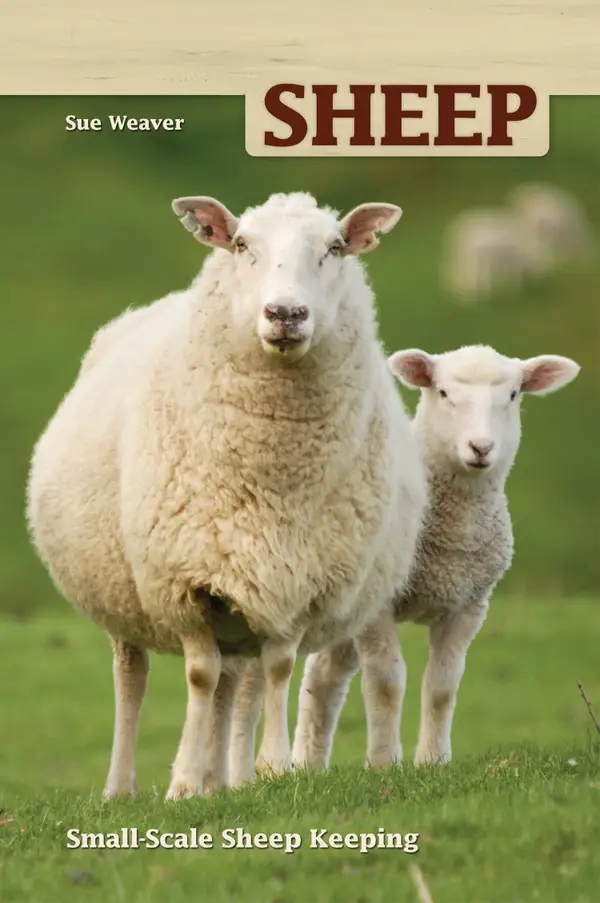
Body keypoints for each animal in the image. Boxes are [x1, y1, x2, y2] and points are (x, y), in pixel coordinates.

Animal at [26, 191, 427, 800]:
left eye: (335, 247)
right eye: (240, 245)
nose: (285, 314)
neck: (272, 478)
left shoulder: (294, 581)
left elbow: (276, 670)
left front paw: (271, 768)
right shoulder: (184, 582)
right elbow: (198, 675)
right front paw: (183, 783)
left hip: (240, 605)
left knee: (235, 684)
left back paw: (222, 781)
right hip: (124, 593)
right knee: (133, 679)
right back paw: (123, 786)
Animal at [290, 344, 580, 770]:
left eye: (513, 395)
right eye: (443, 393)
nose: (481, 447)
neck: (451, 539)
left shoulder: (468, 606)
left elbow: (442, 687)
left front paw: (433, 761)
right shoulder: (380, 608)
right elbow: (386, 683)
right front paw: (384, 763)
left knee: (322, 676)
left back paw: (307, 767)